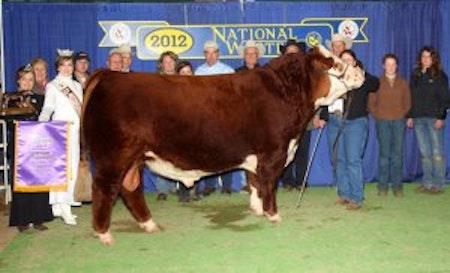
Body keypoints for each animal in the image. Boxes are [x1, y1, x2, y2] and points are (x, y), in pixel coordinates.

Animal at [82, 44, 364, 244]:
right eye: (336, 63)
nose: (360, 71)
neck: (286, 93)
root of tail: (108, 75)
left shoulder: (258, 155)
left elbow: (255, 182)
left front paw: (257, 209)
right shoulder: (274, 152)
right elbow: (269, 183)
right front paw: (273, 214)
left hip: (133, 158)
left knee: (130, 188)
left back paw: (149, 224)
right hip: (113, 156)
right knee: (105, 188)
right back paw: (104, 234)